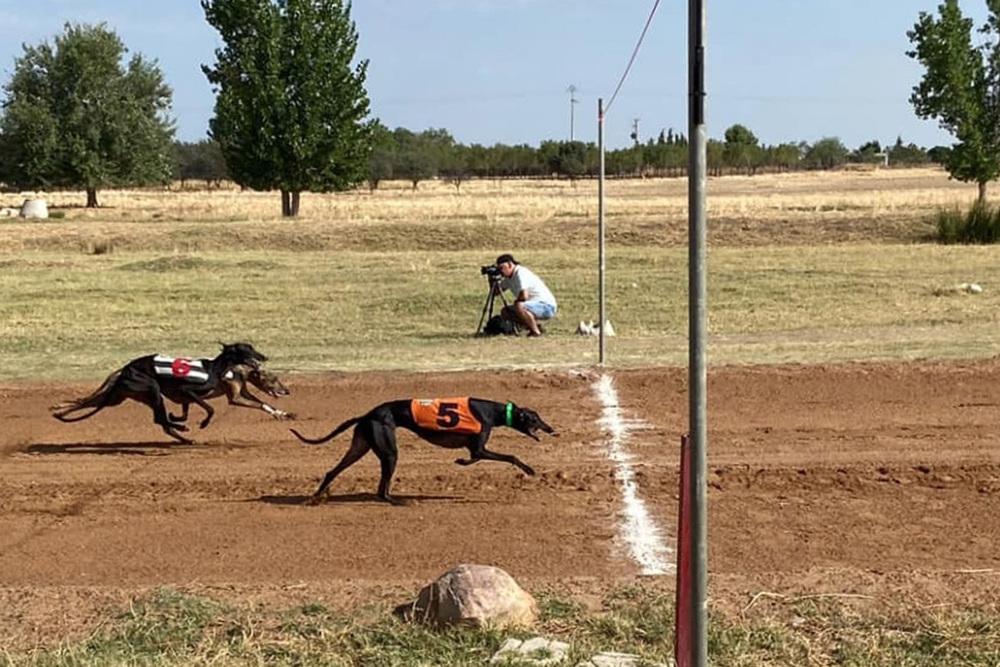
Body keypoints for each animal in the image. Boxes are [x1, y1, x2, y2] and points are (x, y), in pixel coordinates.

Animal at [49, 344, 270, 444]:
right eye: (248, 348)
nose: (264, 356)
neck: (214, 369)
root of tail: (125, 370)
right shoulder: (188, 391)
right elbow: (210, 409)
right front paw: (202, 423)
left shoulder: (184, 398)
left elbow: (183, 412)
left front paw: (179, 419)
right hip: (151, 389)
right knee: (160, 420)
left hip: (119, 397)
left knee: (84, 401)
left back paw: (58, 411)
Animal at [290, 396, 556, 506]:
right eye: (535, 419)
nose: (552, 429)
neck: (494, 411)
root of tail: (367, 414)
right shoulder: (481, 448)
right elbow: (508, 456)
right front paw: (529, 470)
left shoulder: (476, 449)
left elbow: (471, 458)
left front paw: (460, 462)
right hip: (389, 452)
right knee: (381, 490)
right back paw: (398, 501)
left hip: (360, 446)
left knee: (332, 472)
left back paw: (315, 497)